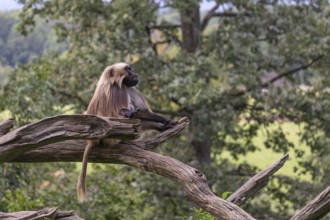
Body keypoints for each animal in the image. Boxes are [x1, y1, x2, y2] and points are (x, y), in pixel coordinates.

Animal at [77, 62, 177, 201]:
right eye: (128, 69)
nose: (135, 74)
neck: (112, 81)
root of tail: (91, 141)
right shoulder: (119, 89)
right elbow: (121, 114)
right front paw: (165, 120)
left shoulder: (128, 87)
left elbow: (142, 111)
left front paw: (165, 124)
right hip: (110, 138)